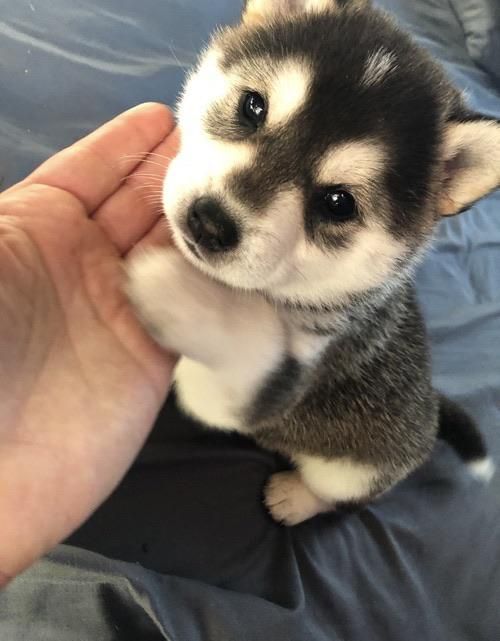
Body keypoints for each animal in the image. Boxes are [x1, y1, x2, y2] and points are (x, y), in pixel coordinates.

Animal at [127, 0, 498, 524]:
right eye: (253, 107)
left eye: (338, 202)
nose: (211, 223)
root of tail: (430, 409)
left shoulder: (266, 391)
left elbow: (240, 350)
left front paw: (185, 300)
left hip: (351, 469)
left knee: (343, 495)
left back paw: (296, 498)